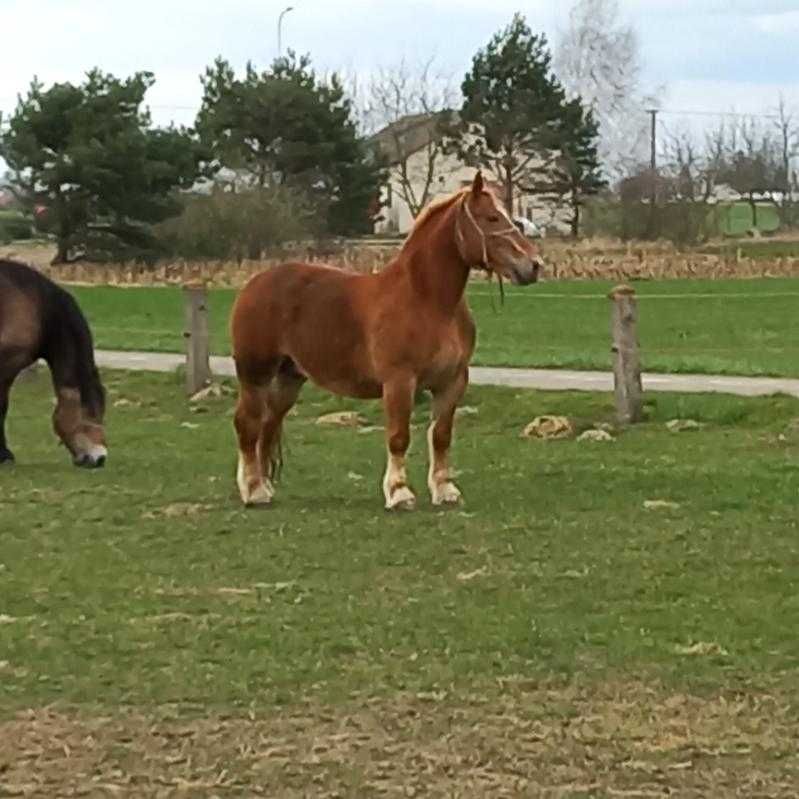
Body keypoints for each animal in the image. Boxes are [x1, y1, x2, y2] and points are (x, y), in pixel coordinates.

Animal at [231, 173, 544, 512]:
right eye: (491, 218)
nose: (534, 264)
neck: (427, 301)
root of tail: (254, 284)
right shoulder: (399, 381)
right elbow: (398, 436)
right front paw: (399, 493)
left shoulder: (452, 382)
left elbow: (441, 435)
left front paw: (445, 490)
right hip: (255, 375)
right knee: (248, 423)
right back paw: (253, 490)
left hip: (289, 378)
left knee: (268, 423)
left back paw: (263, 486)